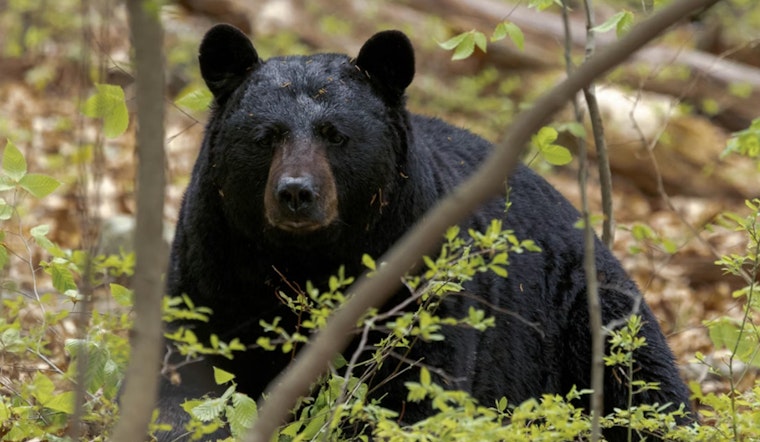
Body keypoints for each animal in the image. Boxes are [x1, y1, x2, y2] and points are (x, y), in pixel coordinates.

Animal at [156, 24, 692, 441]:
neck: (307, 258)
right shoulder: (214, 263)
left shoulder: (417, 275)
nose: (295, 193)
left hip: (586, 313)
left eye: (335, 134)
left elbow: (416, 388)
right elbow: (188, 379)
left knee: (644, 384)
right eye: (265, 136)